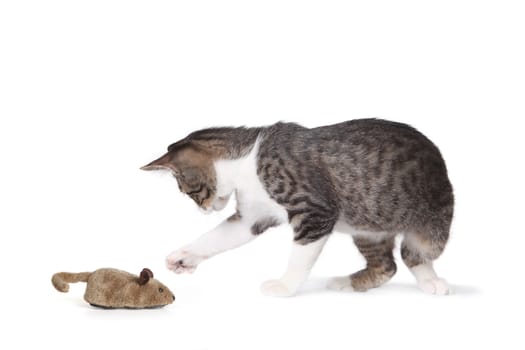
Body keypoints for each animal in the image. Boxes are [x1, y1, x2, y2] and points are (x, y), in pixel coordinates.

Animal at [141, 119, 452, 296]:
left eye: (190, 192)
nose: (205, 210)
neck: (246, 160)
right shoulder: (252, 216)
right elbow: (218, 237)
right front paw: (184, 256)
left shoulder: (316, 212)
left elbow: (299, 258)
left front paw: (285, 286)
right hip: (368, 232)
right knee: (386, 266)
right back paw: (348, 283)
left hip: (432, 222)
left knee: (415, 253)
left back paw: (431, 281)